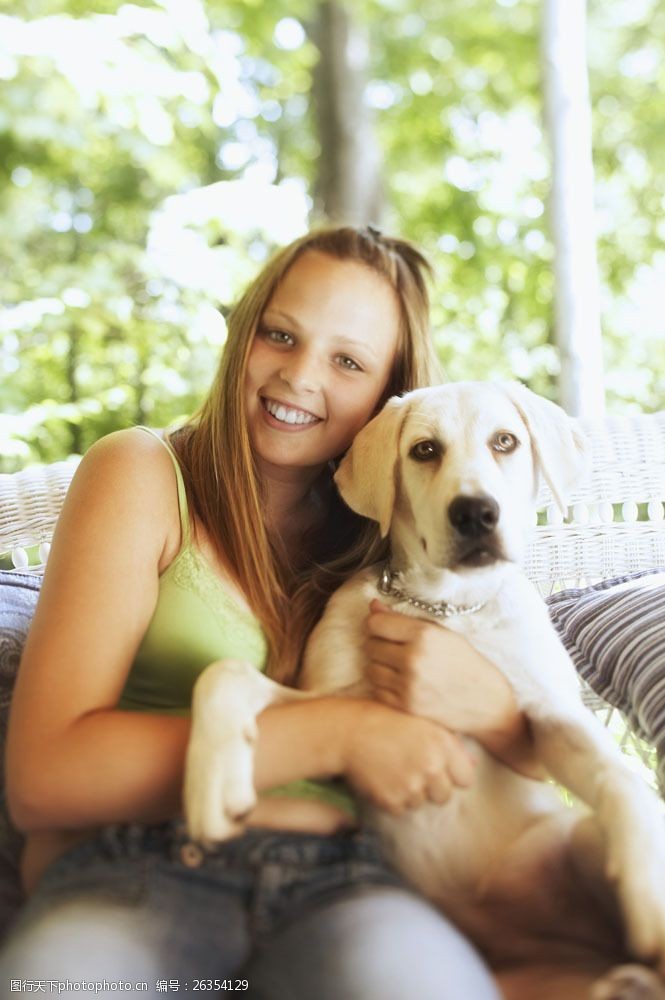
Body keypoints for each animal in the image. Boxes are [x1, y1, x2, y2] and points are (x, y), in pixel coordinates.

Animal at [184, 382, 664, 1000]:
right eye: (424, 450)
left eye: (505, 441)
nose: (476, 512)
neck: (445, 607)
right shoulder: (333, 704)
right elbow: (225, 674)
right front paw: (212, 785)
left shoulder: (548, 714)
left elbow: (620, 778)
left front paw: (646, 887)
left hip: (576, 837)